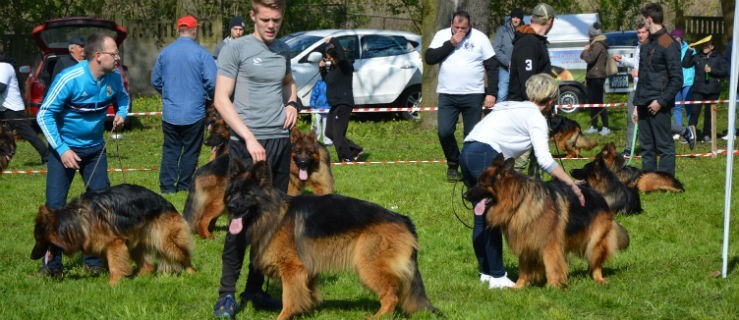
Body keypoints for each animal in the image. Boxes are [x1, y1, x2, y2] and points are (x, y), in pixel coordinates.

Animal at [31, 184, 197, 286]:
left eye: (38, 239)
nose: (31, 257)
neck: (76, 220)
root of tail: (167, 203)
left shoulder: (114, 243)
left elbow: (115, 264)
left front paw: (114, 283)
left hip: (165, 241)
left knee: (184, 255)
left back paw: (192, 272)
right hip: (136, 243)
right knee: (148, 265)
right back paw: (140, 278)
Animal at [185, 127, 336, 238]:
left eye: (309, 152)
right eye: (298, 152)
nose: (303, 163)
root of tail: (201, 170)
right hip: (221, 203)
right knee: (202, 220)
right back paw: (207, 236)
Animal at [225, 160, 440, 320]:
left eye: (247, 194)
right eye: (233, 192)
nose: (231, 206)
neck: (272, 212)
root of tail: (403, 219)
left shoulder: (292, 269)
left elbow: (289, 299)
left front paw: (285, 315)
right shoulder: (307, 270)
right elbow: (306, 294)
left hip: (368, 266)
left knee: (391, 297)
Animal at [462, 155, 632, 288]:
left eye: (482, 184)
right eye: (477, 182)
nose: (464, 195)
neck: (519, 201)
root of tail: (598, 195)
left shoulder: (549, 244)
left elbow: (552, 266)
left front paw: (553, 287)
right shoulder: (525, 242)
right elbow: (524, 270)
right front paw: (519, 286)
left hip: (595, 241)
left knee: (595, 263)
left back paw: (599, 279)